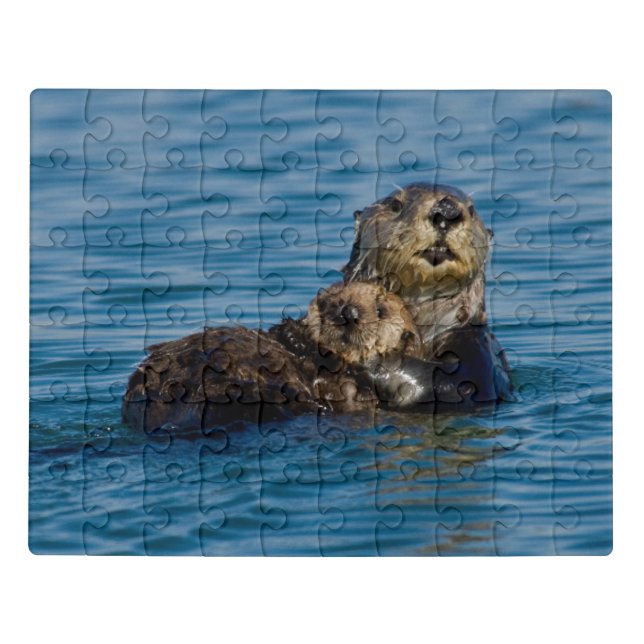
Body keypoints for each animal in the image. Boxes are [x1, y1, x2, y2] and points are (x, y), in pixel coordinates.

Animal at [343, 182, 512, 404]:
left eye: (472, 209)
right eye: (395, 204)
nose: (447, 210)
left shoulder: (478, 350)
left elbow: (452, 386)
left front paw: (369, 352)